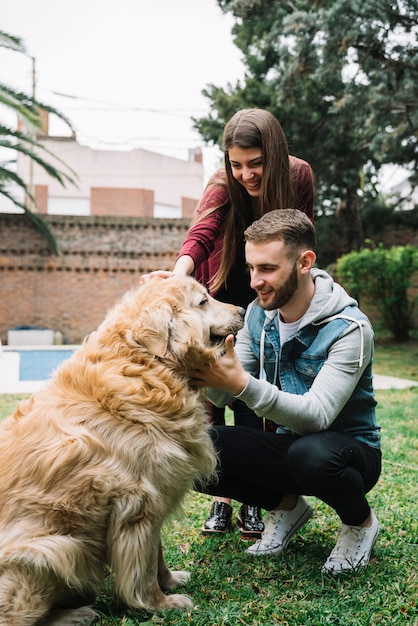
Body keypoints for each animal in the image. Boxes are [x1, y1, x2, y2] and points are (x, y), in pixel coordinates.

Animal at [0, 276, 245, 620]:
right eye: (203, 301)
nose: (244, 309)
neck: (147, 367)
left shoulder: (156, 495)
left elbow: (157, 555)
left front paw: (170, 581)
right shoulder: (138, 504)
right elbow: (143, 568)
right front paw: (159, 603)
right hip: (55, 549)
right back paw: (75, 615)